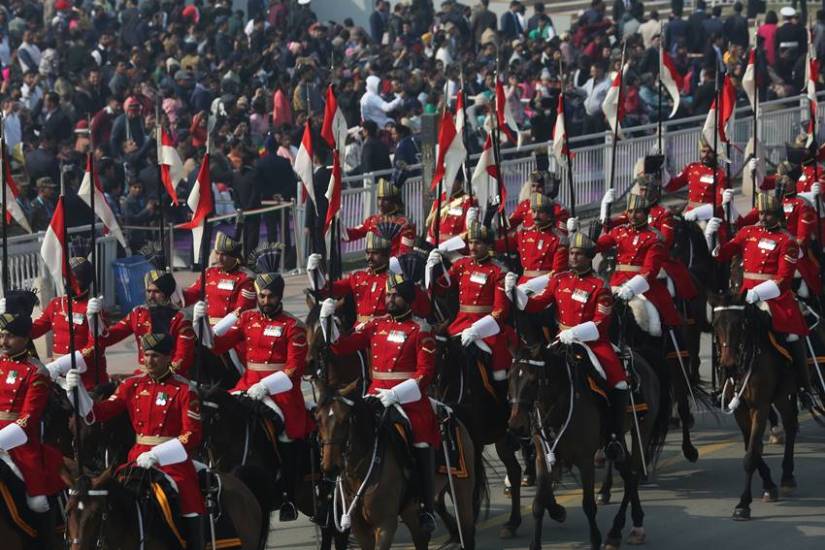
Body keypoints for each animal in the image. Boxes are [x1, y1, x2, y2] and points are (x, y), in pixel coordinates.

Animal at [316, 380, 482, 550]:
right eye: (318, 419)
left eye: (346, 419)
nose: (330, 467)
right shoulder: (359, 528)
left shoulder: (385, 525)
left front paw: (387, 396)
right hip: (412, 509)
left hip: (461, 491)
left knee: (466, 532)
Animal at [708, 294, 804, 520]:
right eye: (715, 324)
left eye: (741, 324)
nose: (728, 365)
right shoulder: (740, 410)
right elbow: (752, 448)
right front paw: (768, 485)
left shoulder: (760, 406)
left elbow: (751, 455)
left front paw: (743, 504)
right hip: (779, 397)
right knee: (790, 423)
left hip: (783, 393)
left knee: (791, 425)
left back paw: (787, 476)